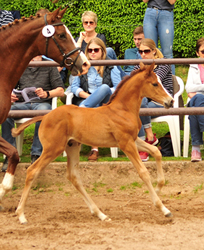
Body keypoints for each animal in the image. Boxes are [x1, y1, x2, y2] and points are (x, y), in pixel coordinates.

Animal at [8, 63, 173, 225]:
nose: (170, 101)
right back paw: (21, 215)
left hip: (72, 146)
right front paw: (163, 208)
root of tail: (45, 116)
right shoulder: (126, 143)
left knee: (73, 176)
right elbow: (143, 172)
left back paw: (100, 214)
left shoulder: (133, 139)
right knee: (32, 171)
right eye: (154, 84)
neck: (122, 110)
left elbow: (156, 152)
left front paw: (158, 189)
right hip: (53, 149)